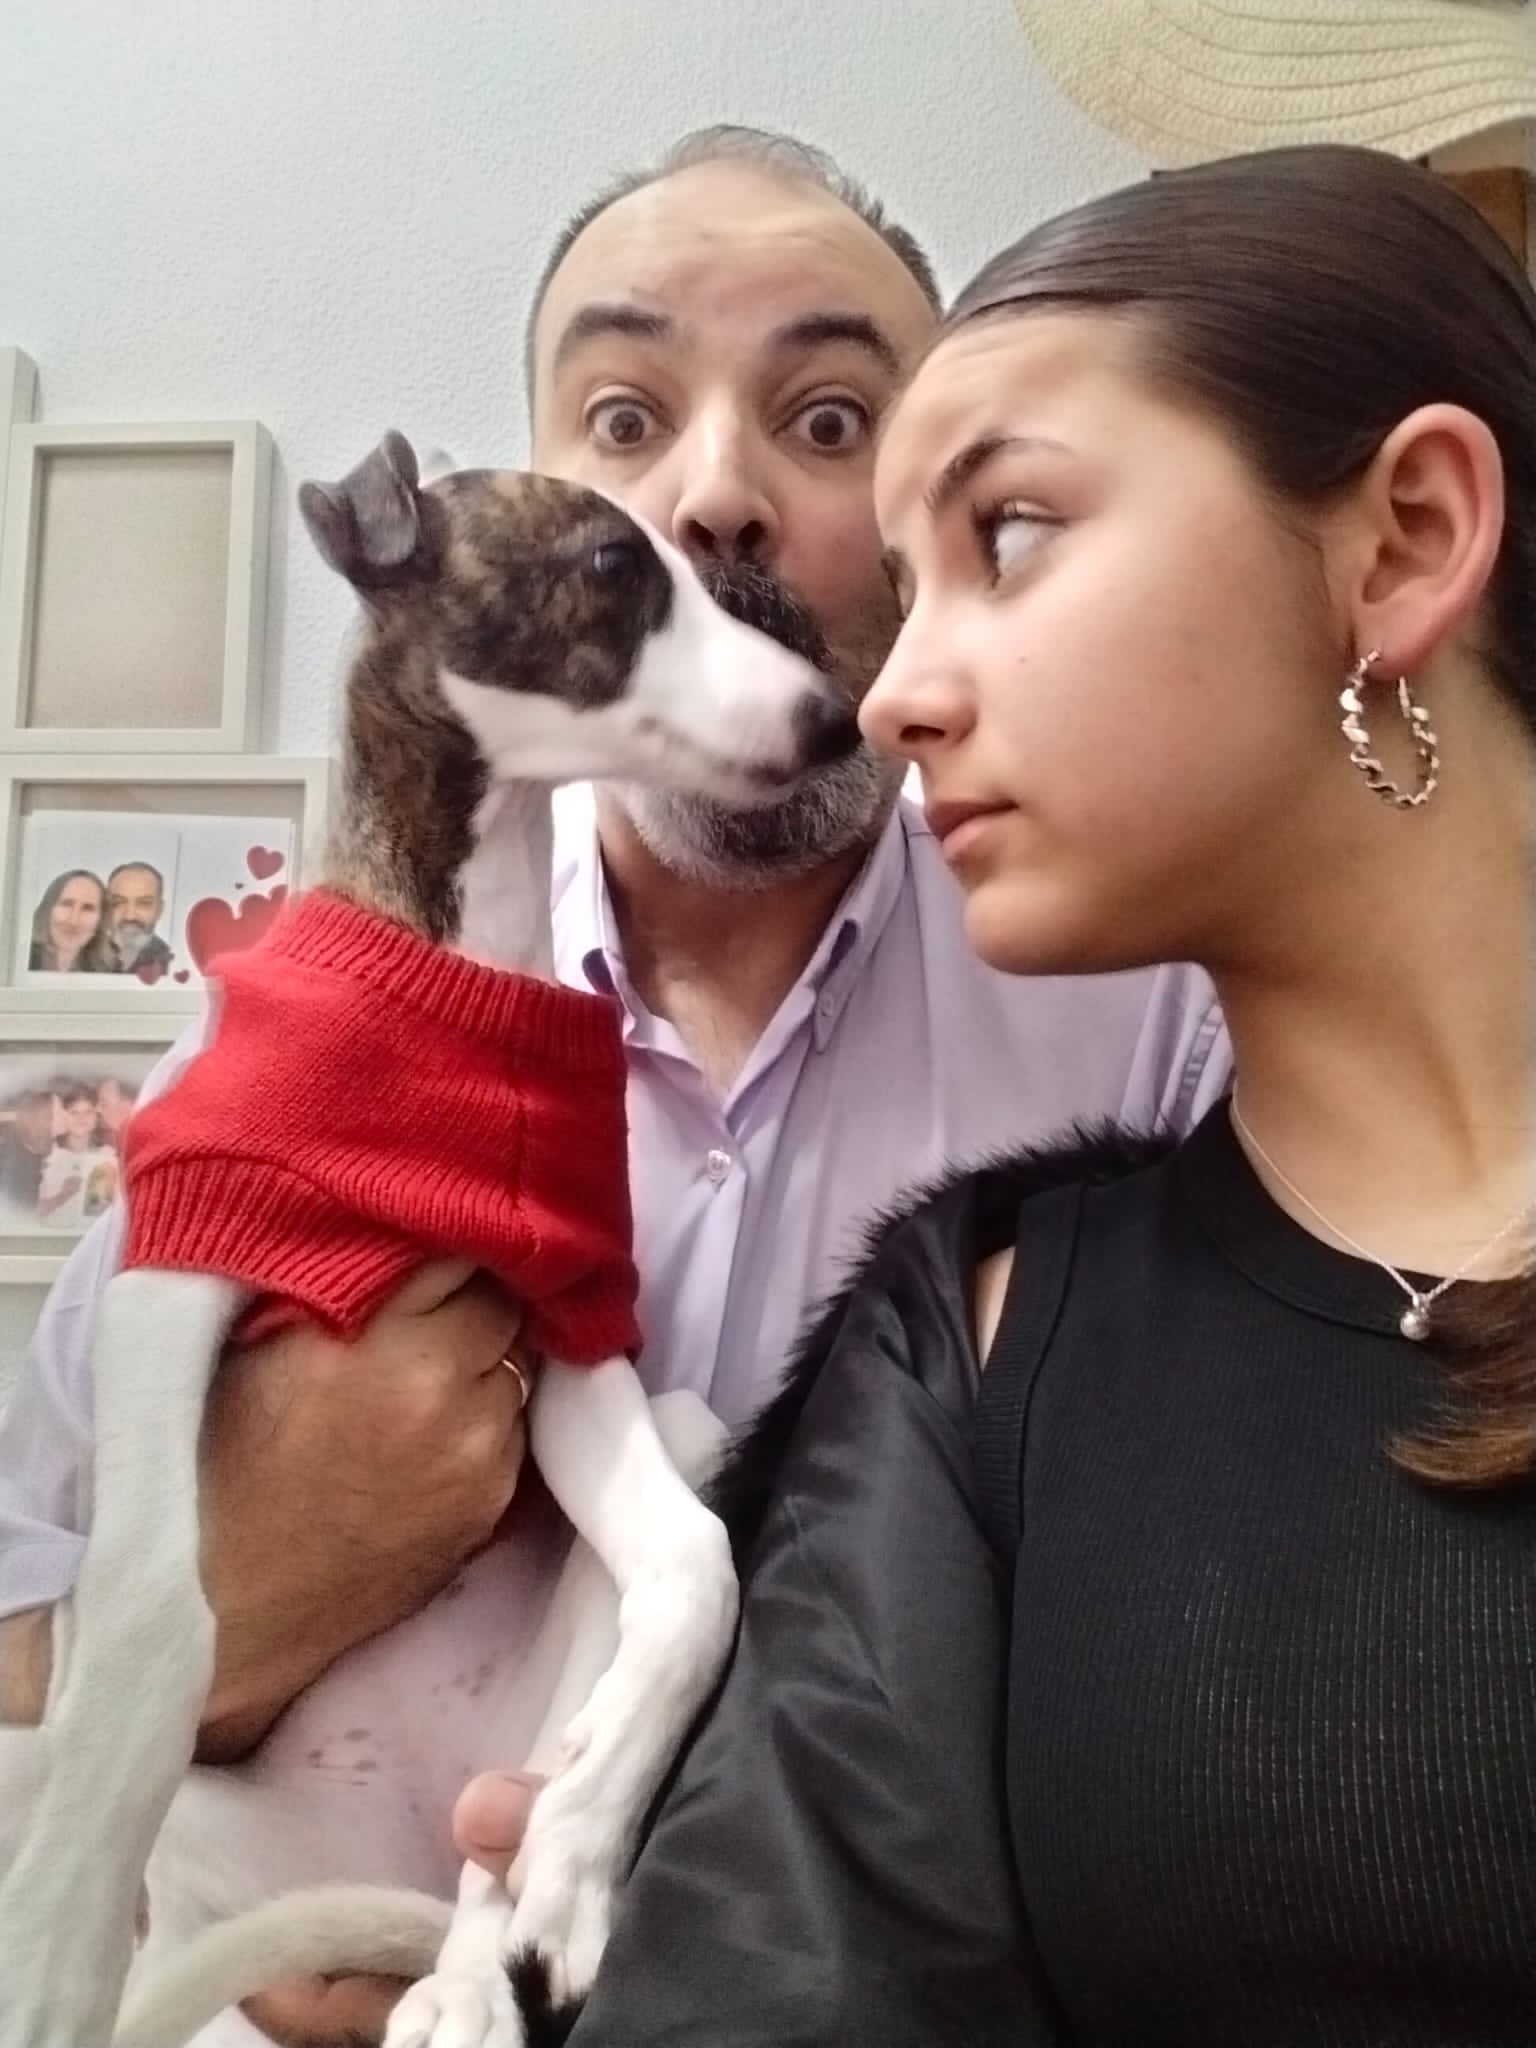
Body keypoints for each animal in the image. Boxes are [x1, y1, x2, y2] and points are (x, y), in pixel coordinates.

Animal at [0, 430, 858, 2048]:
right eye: (614, 564)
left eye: (714, 569)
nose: (839, 718)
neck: (456, 965)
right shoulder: (181, 1255)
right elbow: (153, 1611)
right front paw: (53, 1954)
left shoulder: (572, 1328)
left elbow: (698, 1571)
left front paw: (576, 1858)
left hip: (684, 1425)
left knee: (483, 1821)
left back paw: (480, 1957)